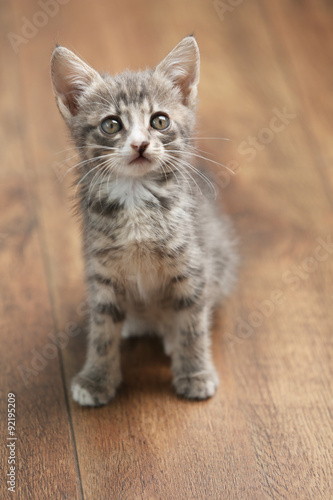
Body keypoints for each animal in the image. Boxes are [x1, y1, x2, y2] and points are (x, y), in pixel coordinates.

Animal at [50, 36, 236, 406]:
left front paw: (195, 373)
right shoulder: (102, 273)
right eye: (111, 124)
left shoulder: (193, 266)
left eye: (159, 121)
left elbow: (193, 324)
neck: (136, 197)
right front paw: (96, 378)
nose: (140, 144)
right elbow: (102, 332)